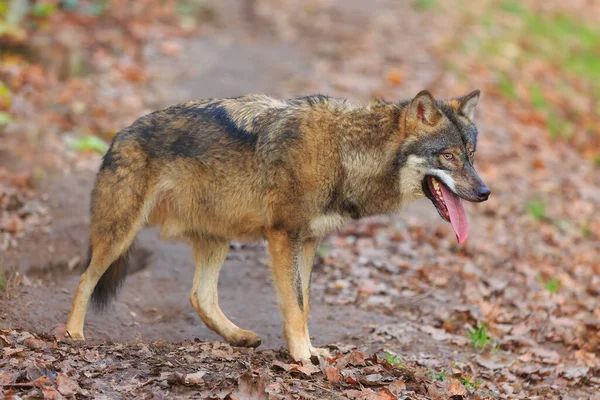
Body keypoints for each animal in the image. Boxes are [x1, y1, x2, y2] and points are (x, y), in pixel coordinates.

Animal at [65, 90, 490, 360]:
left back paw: (238, 337)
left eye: (471, 155)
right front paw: (302, 358)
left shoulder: (309, 241)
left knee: (200, 296)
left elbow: (304, 305)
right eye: (448, 156)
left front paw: (309, 351)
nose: (485, 192)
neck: (345, 154)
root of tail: (119, 134)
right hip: (121, 235)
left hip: (218, 238)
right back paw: (72, 336)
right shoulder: (284, 237)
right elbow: (295, 305)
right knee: (85, 279)